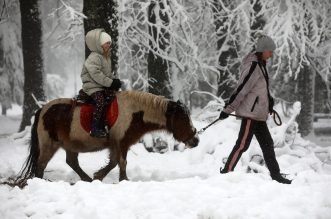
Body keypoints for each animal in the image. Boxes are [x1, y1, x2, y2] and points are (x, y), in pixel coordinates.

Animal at [15, 90, 200, 185]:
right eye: (183, 119)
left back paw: (87, 179)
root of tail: (42, 110)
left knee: (72, 162)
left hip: (70, 144)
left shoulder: (116, 144)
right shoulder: (122, 143)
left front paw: (99, 176)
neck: (134, 113)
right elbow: (122, 162)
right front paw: (124, 180)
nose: (196, 140)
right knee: (41, 165)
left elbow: (113, 162)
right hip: (49, 145)